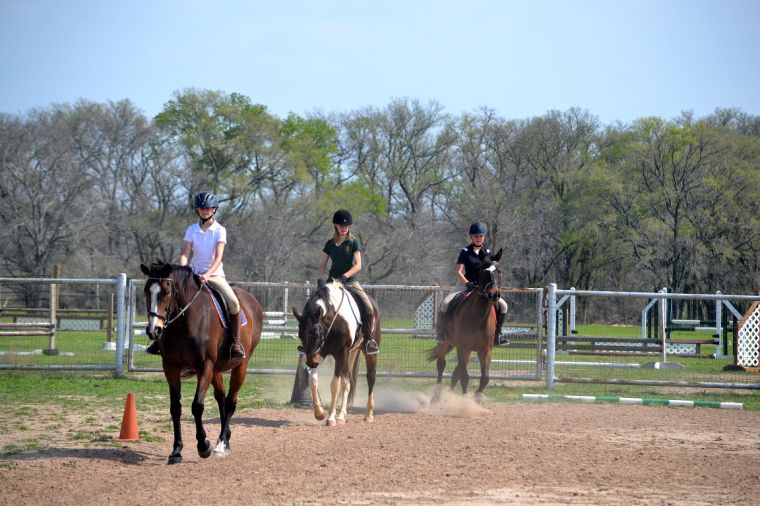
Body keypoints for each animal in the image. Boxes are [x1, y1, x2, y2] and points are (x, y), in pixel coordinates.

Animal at [140, 262, 264, 464]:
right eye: (146, 291)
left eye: (167, 291)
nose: (153, 330)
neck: (183, 322)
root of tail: (252, 301)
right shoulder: (170, 367)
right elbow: (175, 408)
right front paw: (176, 451)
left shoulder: (204, 366)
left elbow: (197, 406)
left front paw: (203, 446)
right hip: (217, 369)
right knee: (221, 397)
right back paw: (226, 439)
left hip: (240, 366)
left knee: (231, 401)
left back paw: (221, 444)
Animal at [294, 278, 382, 424]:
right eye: (300, 335)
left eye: (315, 334)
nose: (311, 363)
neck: (333, 319)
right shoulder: (320, 353)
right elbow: (312, 380)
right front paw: (319, 413)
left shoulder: (340, 352)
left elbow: (335, 384)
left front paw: (330, 418)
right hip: (346, 356)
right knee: (347, 382)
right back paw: (342, 415)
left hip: (367, 352)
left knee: (370, 377)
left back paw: (369, 415)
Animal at [428, 248, 504, 400]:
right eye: (483, 271)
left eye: (499, 271)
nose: (494, 295)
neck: (479, 316)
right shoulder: (463, 347)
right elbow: (465, 378)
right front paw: (465, 401)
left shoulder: (485, 350)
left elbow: (485, 378)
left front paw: (476, 399)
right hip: (444, 342)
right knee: (441, 365)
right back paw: (436, 398)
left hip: (468, 352)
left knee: (455, 373)